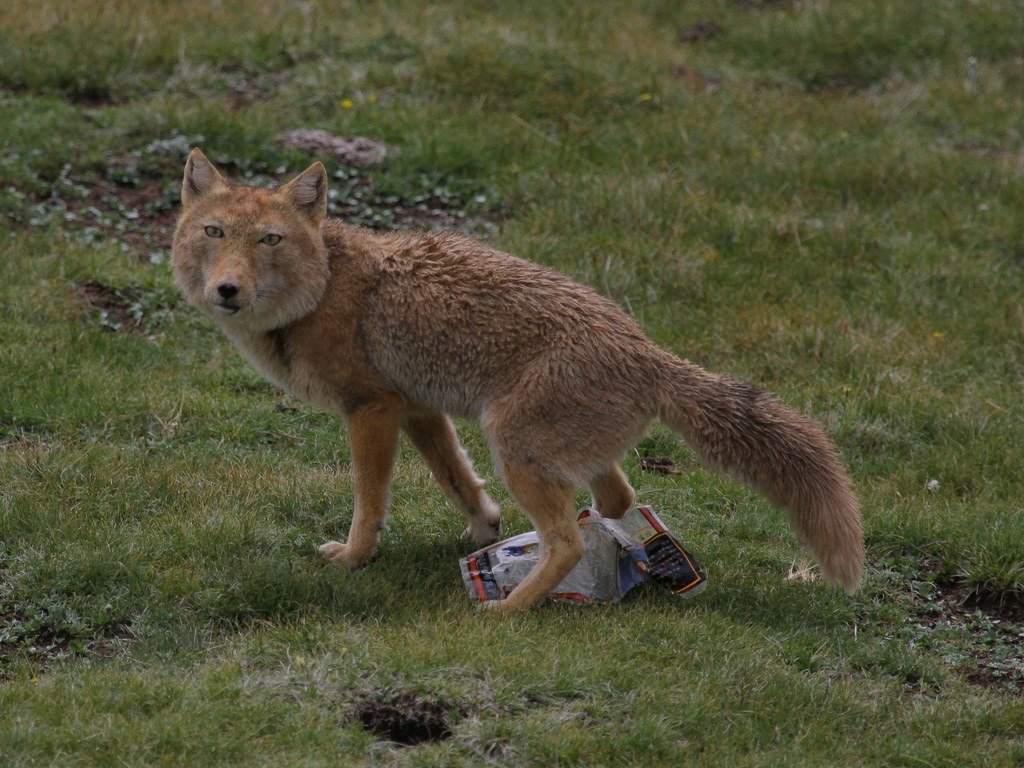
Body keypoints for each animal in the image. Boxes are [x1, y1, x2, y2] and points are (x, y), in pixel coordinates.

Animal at [169, 147, 864, 610]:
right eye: (214, 232)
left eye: (269, 240)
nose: (227, 290)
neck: (319, 292)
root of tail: (649, 353)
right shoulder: (419, 409)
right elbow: (460, 484)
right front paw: (484, 534)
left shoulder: (371, 408)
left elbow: (369, 503)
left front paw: (354, 558)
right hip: (552, 455)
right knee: (615, 502)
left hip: (513, 446)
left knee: (567, 543)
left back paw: (511, 608)